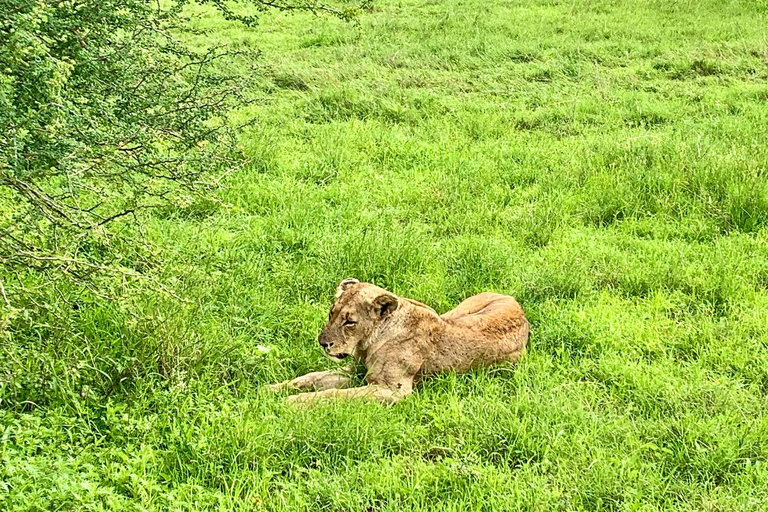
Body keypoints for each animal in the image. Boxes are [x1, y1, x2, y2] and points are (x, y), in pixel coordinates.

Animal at [270, 278, 528, 406]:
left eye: (350, 322)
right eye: (331, 313)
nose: (323, 343)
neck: (367, 342)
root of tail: (519, 308)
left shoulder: (392, 389)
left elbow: (336, 395)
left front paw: (292, 403)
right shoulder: (355, 372)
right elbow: (310, 378)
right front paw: (271, 390)